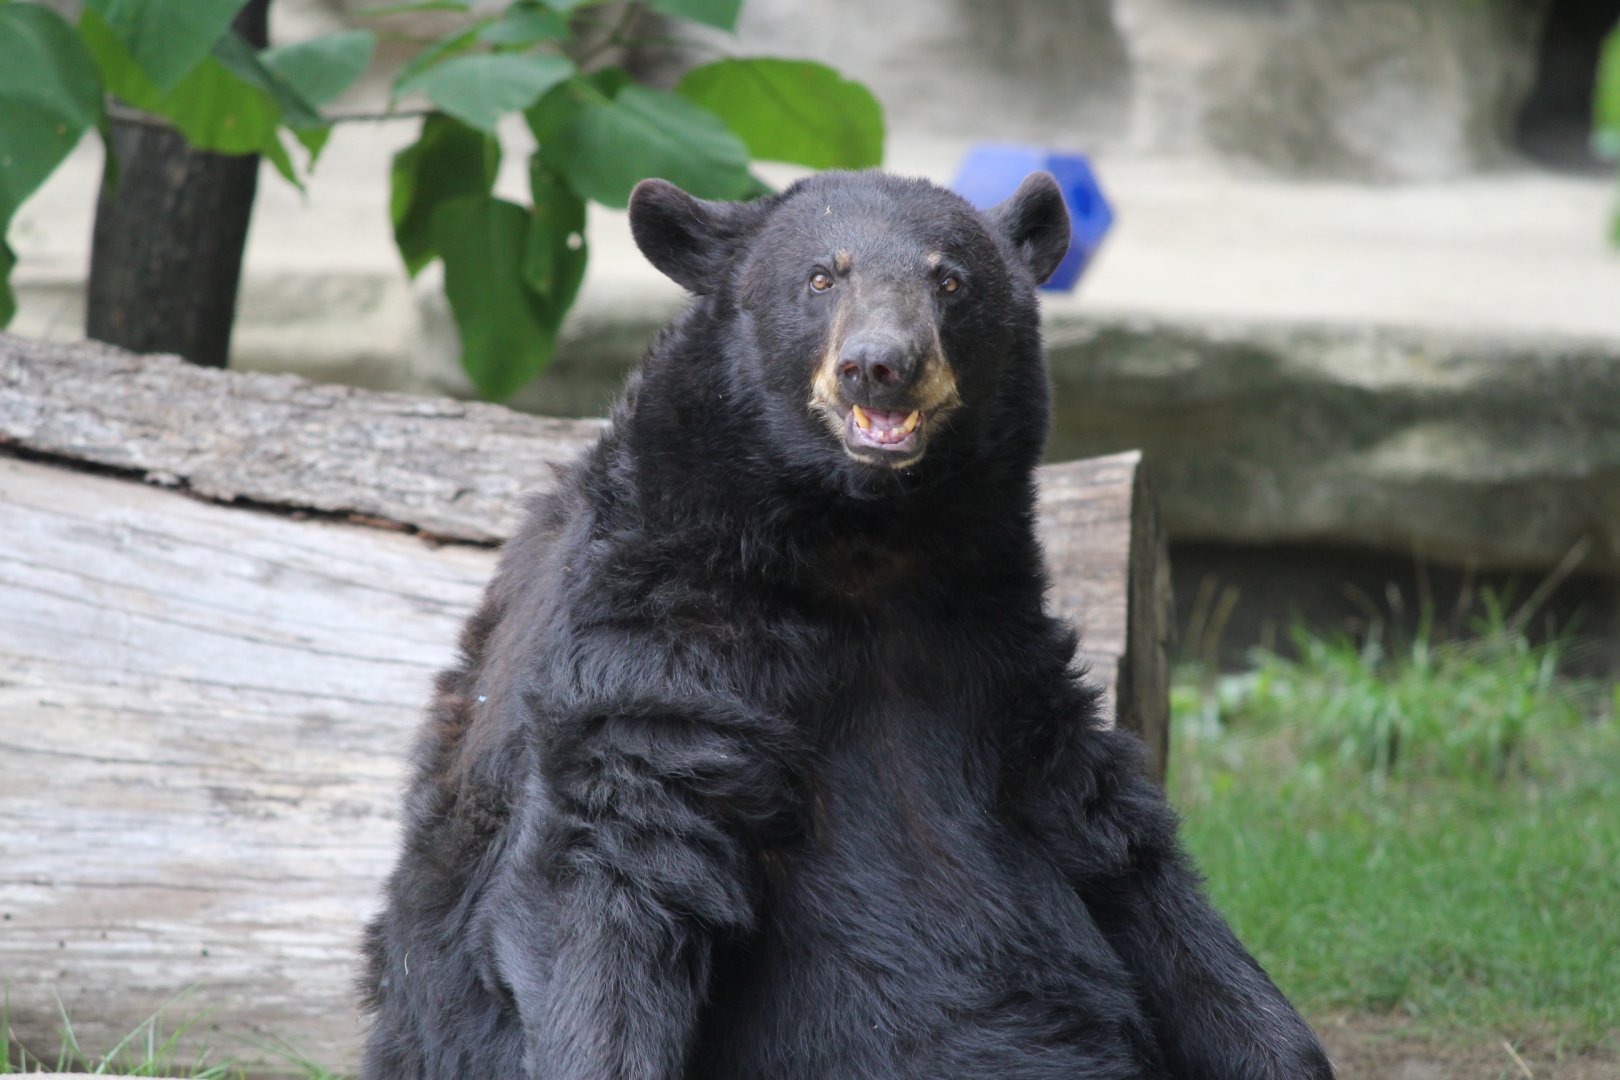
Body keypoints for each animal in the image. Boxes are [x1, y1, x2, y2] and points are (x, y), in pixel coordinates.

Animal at [359, 169, 1335, 1079]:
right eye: (823, 276)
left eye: (950, 280)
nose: (880, 363)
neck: (862, 548)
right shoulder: (654, 642)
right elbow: (610, 864)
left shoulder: (1003, 661)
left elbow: (1127, 862)